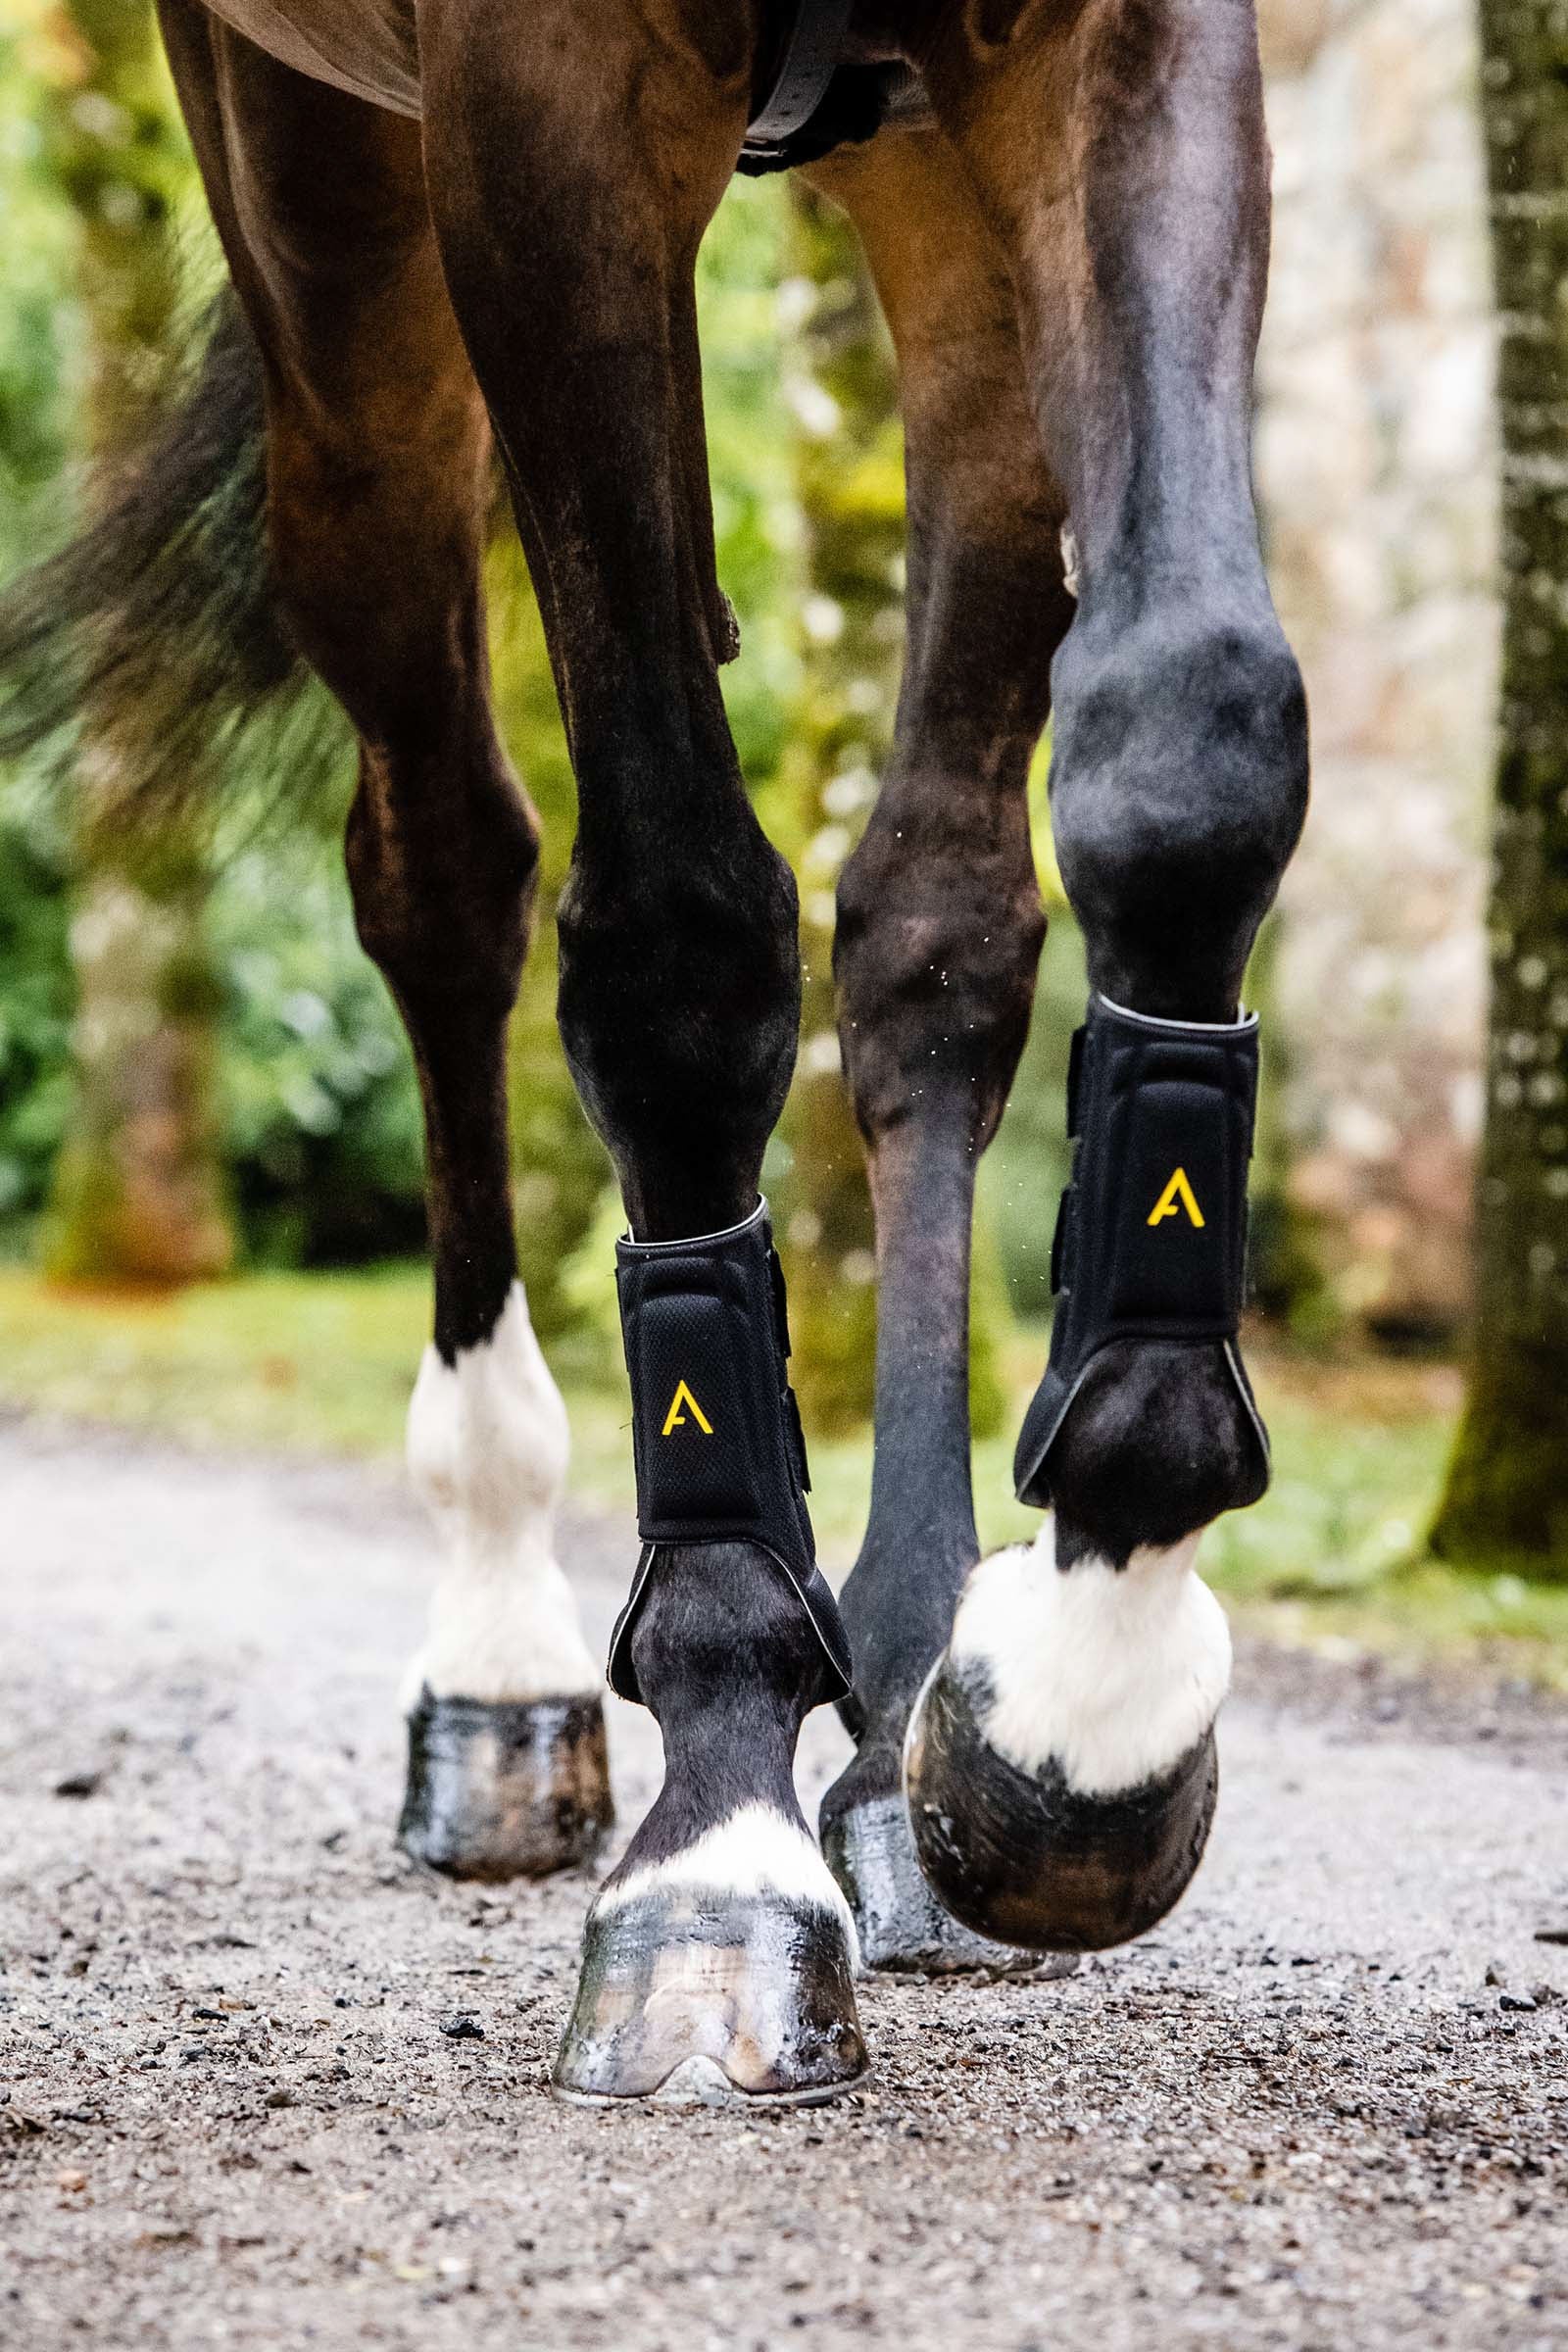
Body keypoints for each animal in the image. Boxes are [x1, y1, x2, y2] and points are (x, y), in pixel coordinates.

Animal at [0, 0, 1308, 2107]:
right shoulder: (543, 117)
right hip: (329, 241)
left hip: (937, 204)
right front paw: (715, 1839)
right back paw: (504, 1663)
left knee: (932, 919)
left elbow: (1192, 735)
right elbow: (678, 946)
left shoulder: (1120, 44)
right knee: (447, 871)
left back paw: (901, 1722)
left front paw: (1076, 1703)